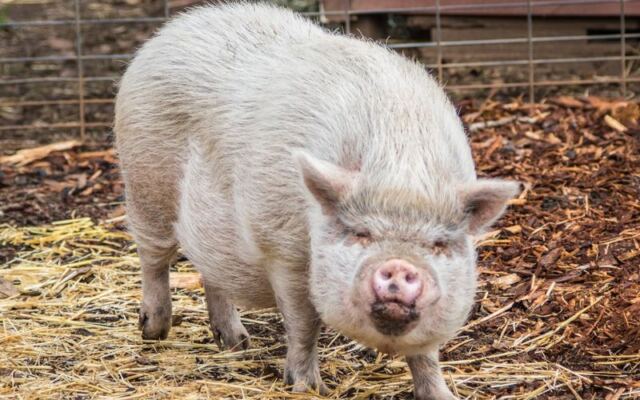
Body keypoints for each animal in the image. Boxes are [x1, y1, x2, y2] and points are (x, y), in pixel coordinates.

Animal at [114, 3, 520, 399]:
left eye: (438, 244)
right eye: (360, 233)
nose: (399, 265)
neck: (400, 168)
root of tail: (177, 26)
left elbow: (426, 353)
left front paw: (443, 395)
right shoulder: (284, 250)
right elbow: (303, 323)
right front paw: (308, 387)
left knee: (211, 268)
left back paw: (236, 343)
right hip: (145, 181)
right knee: (154, 257)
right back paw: (154, 331)